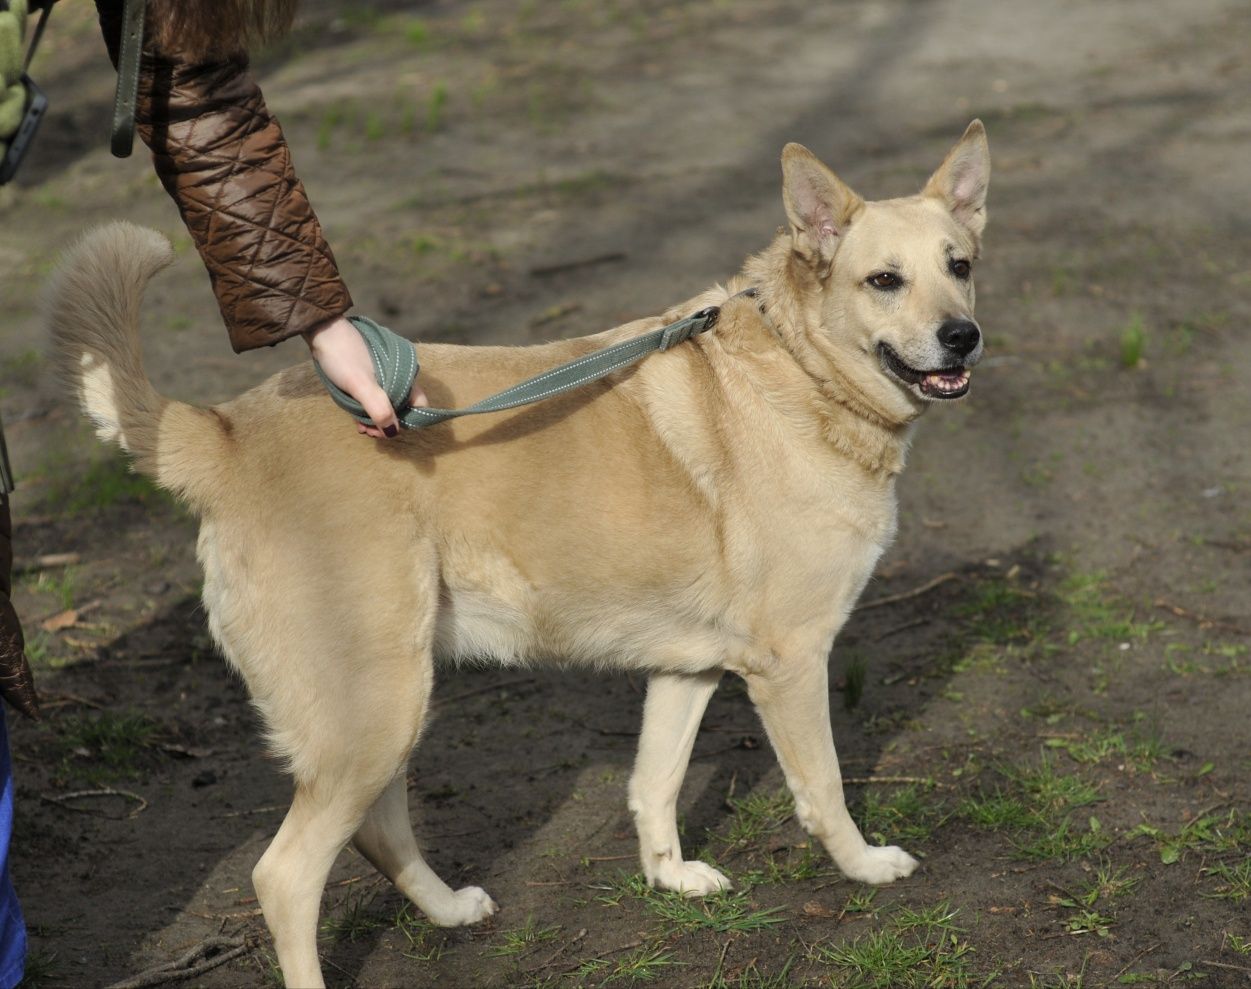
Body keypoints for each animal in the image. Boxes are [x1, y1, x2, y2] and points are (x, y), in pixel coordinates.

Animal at [46, 120, 985, 985]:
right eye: (884, 280)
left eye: (960, 265)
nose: (963, 337)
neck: (799, 366)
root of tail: (224, 432)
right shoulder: (789, 662)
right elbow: (822, 786)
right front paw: (864, 865)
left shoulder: (688, 667)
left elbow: (653, 782)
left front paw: (669, 876)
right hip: (372, 711)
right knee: (284, 875)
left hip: (389, 700)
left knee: (378, 829)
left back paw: (448, 908)